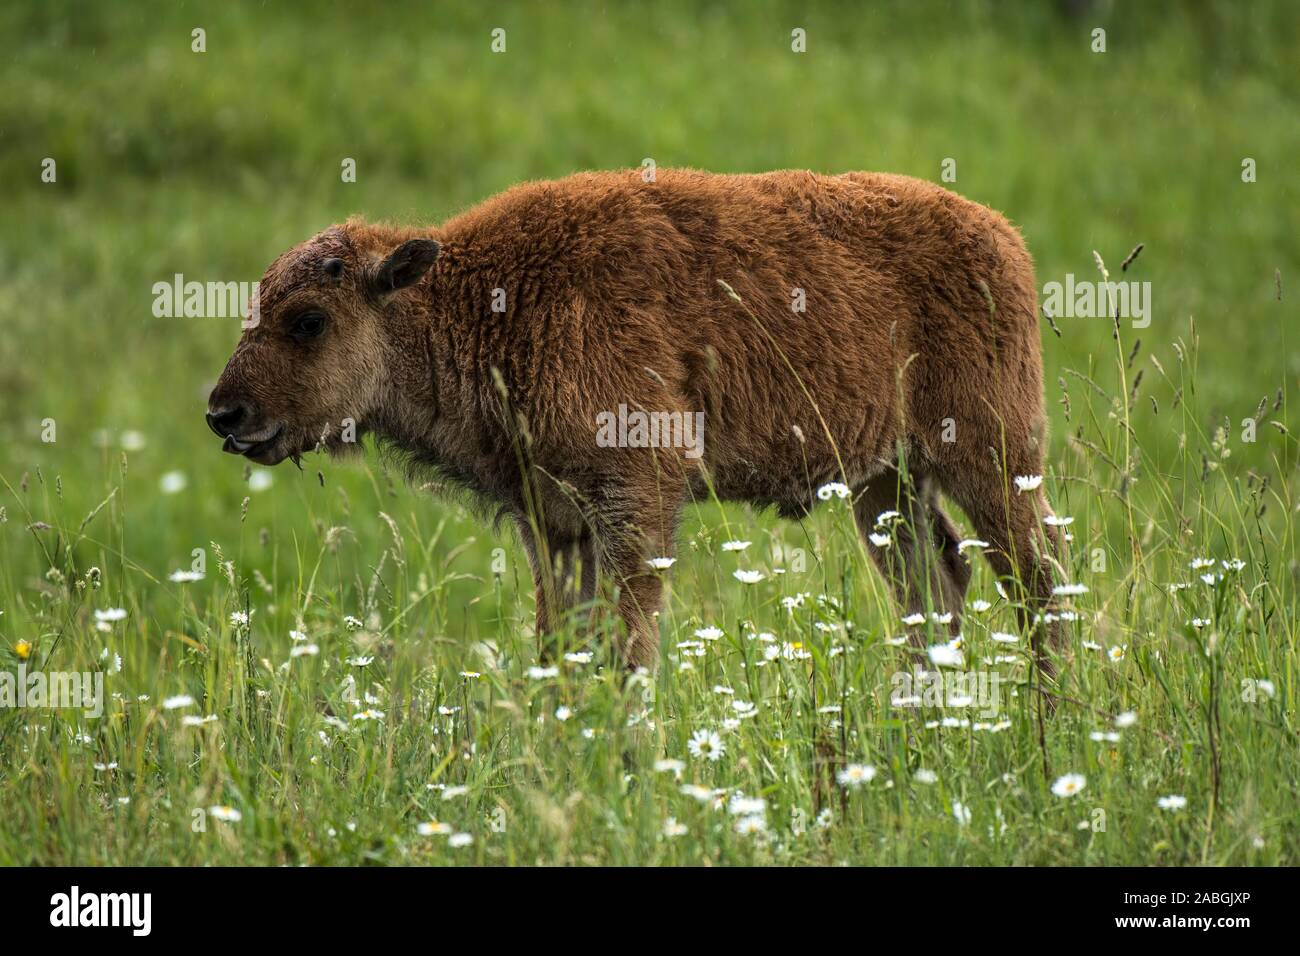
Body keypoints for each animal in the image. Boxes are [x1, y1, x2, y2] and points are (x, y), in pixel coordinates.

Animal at [210, 170, 1066, 671]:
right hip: (885, 481)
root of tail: (1002, 236)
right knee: (936, 581)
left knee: (1038, 577)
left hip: (990, 457)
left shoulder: (637, 496)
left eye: (309, 319)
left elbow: (628, 644)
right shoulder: (552, 520)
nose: (224, 413)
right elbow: (561, 642)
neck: (476, 300)